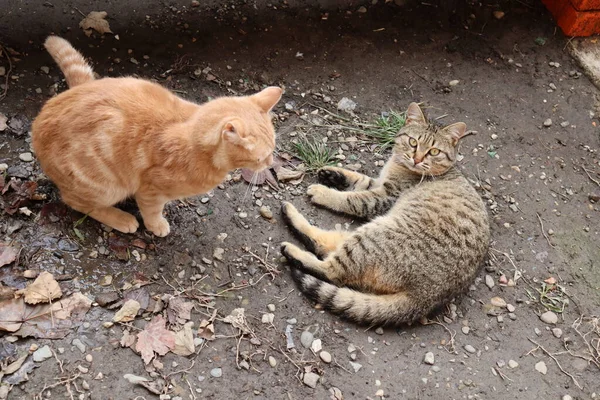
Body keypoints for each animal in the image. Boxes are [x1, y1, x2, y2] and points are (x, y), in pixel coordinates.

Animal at [33, 36, 284, 236]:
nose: (271, 163)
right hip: (105, 187)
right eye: (261, 157)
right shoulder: (150, 189)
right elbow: (152, 210)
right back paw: (120, 219)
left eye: (273, 150)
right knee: (75, 201)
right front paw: (156, 225)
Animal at [278, 104, 490, 326]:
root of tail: (426, 297)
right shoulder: (377, 184)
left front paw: (324, 192)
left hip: (373, 234)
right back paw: (290, 214)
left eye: (434, 151)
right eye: (413, 142)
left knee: (332, 270)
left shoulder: (384, 197)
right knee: (325, 244)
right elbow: (359, 179)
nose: (417, 159)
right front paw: (333, 174)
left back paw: (293, 250)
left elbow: (351, 199)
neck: (399, 165)